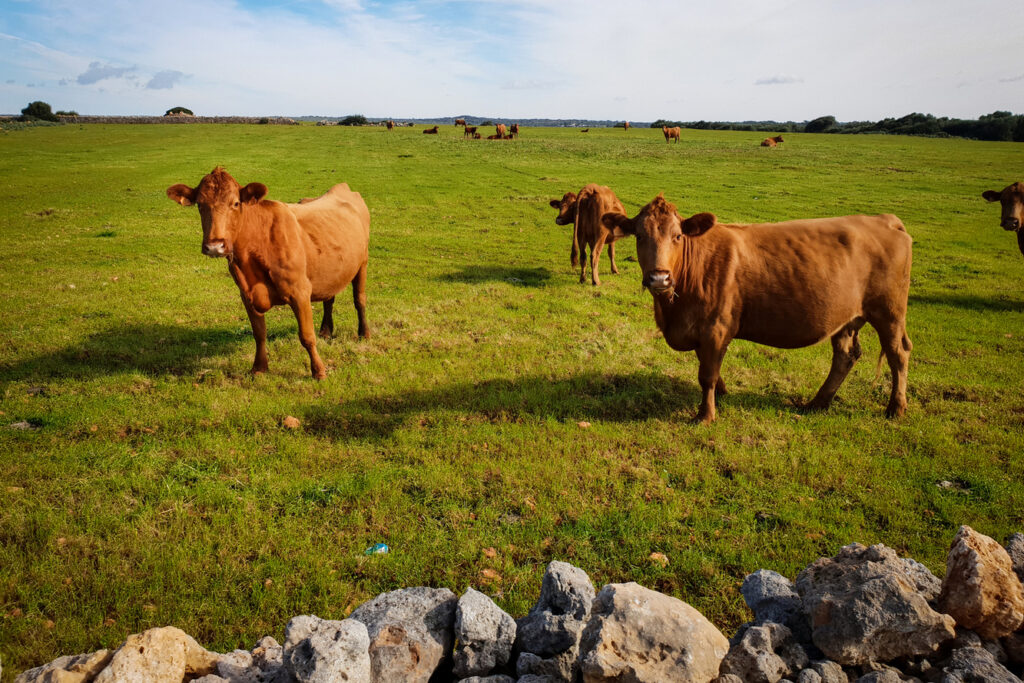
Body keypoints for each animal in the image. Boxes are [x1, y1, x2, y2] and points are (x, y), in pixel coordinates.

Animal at [167, 165, 372, 378]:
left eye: (236, 203)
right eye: (199, 205)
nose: (215, 246)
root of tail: (342, 188)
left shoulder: (300, 291)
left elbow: (307, 336)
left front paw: (319, 371)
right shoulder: (246, 294)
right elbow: (259, 334)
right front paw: (259, 367)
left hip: (363, 262)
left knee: (359, 299)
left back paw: (363, 333)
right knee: (329, 299)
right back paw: (325, 331)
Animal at [598, 192, 913, 423]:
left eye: (677, 236)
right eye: (639, 236)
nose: (659, 277)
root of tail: (885, 220)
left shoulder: (716, 328)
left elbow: (706, 374)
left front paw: (705, 415)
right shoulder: (700, 329)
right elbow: (709, 368)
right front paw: (722, 393)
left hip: (889, 312)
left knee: (898, 354)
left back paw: (895, 408)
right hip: (846, 317)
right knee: (845, 356)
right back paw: (817, 402)